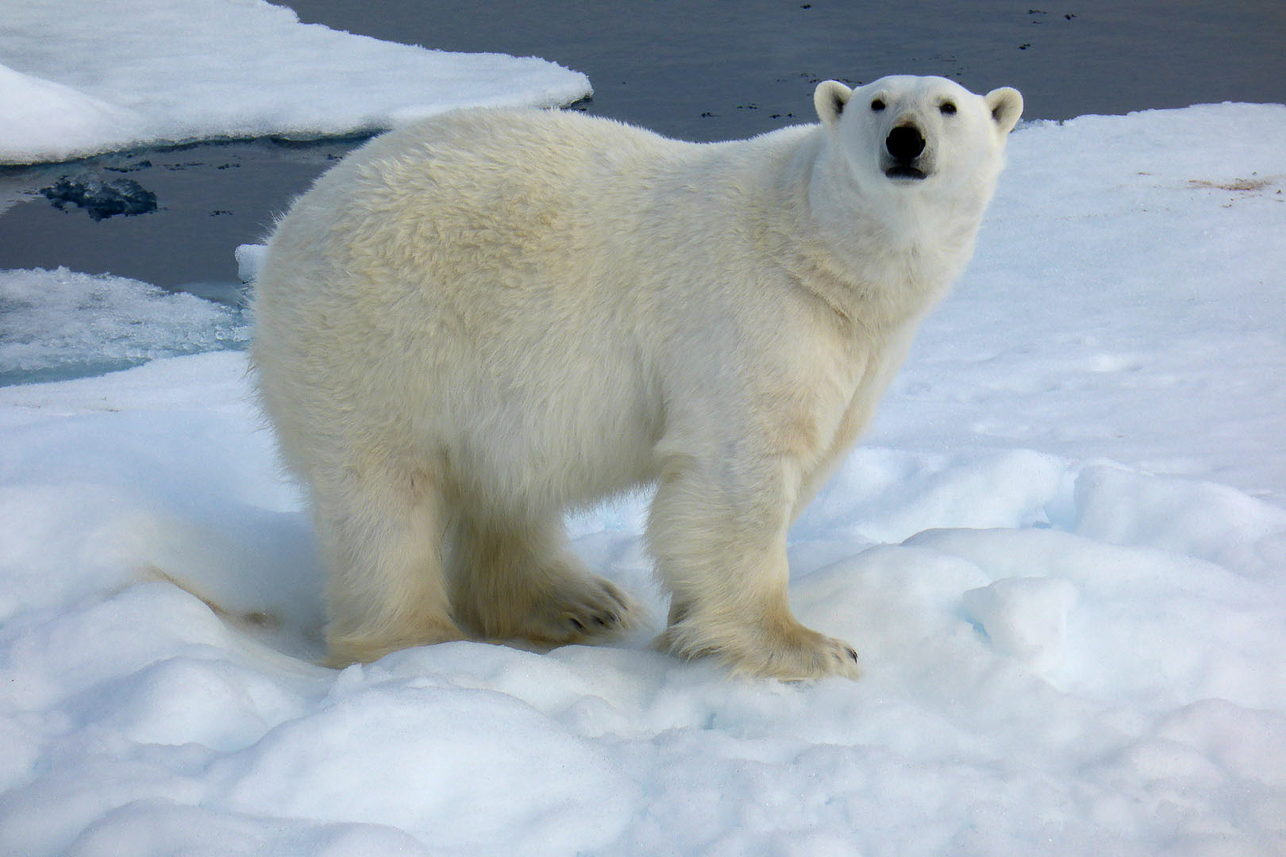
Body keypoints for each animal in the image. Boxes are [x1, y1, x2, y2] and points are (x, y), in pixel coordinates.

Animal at [253, 74, 1023, 674]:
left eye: (949, 106)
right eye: (877, 101)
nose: (906, 140)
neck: (817, 251)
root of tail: (290, 223)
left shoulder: (859, 349)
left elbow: (809, 455)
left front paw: (689, 626)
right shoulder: (752, 316)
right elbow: (741, 472)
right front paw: (809, 647)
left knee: (501, 488)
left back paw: (575, 604)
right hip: (378, 342)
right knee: (382, 497)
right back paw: (419, 640)